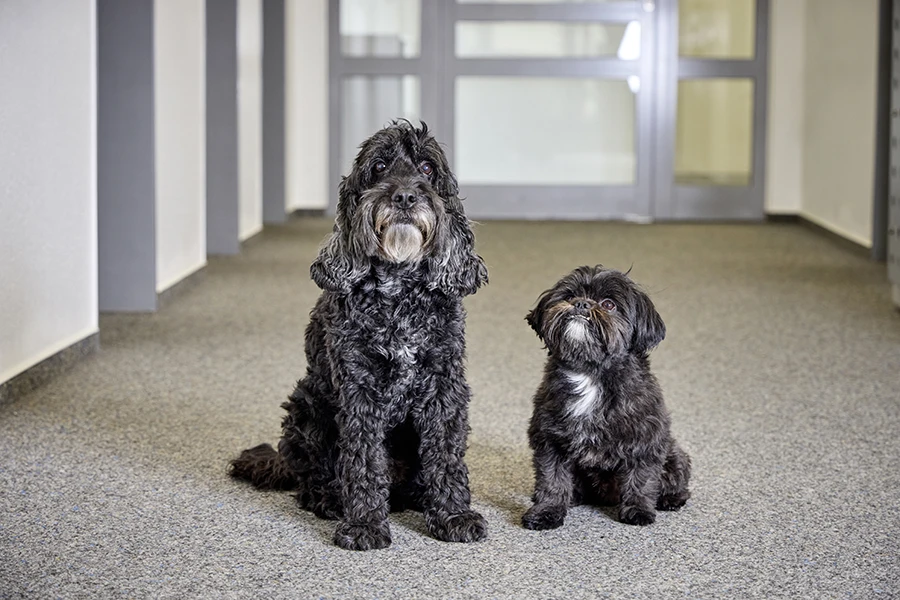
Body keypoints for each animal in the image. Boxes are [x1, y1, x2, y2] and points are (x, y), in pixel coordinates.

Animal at [229, 123, 488, 552]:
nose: (404, 196)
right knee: (310, 479)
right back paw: (330, 499)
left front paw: (453, 515)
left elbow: (446, 453)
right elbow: (363, 458)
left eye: (426, 167)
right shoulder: (359, 386)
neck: (399, 291)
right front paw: (365, 524)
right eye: (379, 166)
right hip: (307, 404)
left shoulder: (443, 385)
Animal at [520, 268, 688, 528]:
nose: (581, 303)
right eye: (570, 295)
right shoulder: (549, 439)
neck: (590, 372)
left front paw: (638, 510)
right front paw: (546, 511)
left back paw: (671, 498)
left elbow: (641, 479)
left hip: (674, 453)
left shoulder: (646, 440)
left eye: (608, 304)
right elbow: (552, 480)